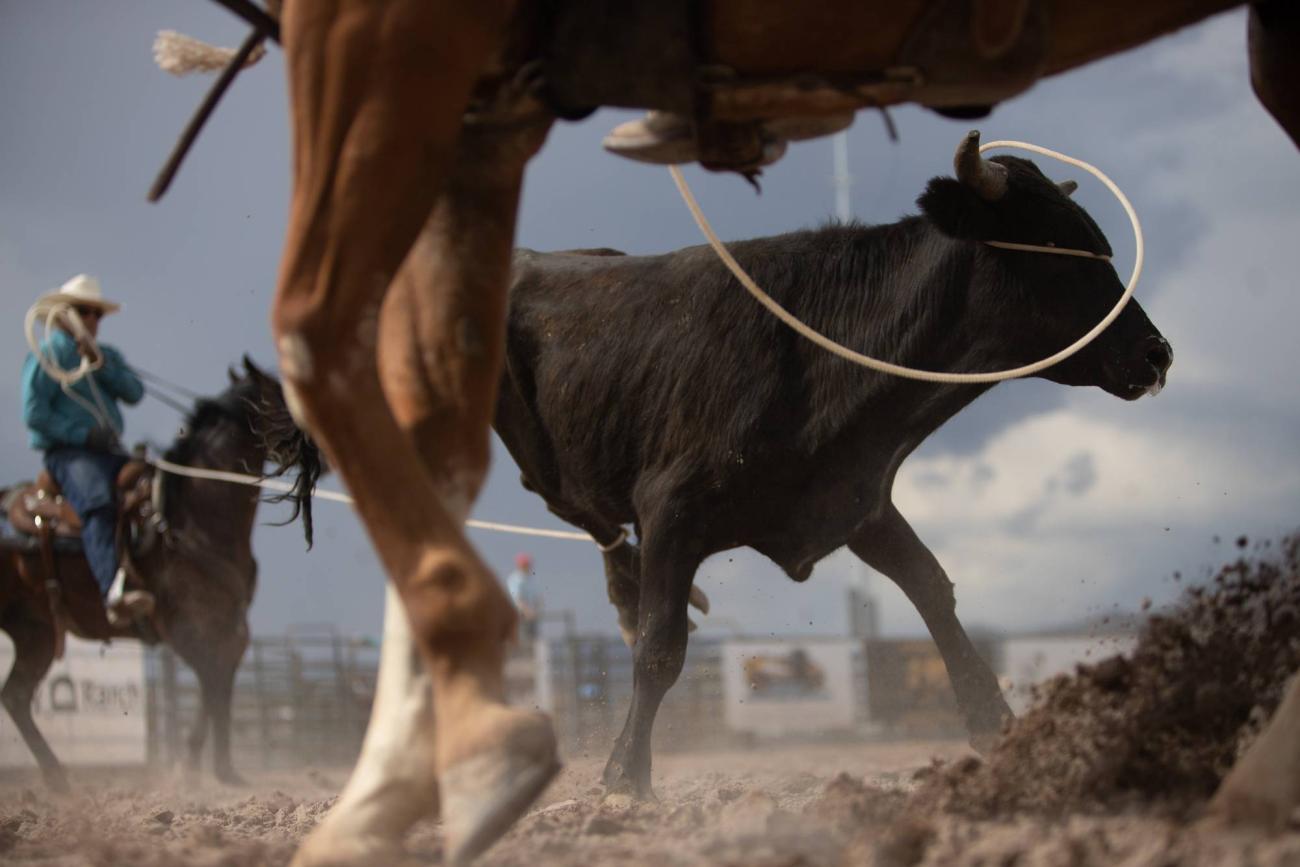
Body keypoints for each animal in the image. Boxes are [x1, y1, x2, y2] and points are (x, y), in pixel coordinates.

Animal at [1, 356, 317, 790]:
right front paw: (197, 766)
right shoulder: (184, 626)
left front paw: (217, 767)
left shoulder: (229, 624)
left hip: (36, 632)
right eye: (282, 395)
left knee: (15, 695)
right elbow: (213, 678)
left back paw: (58, 779)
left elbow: (220, 682)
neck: (191, 520)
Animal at [170, 3, 1300, 863]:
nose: (1154, 353)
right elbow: (663, 647)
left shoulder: (857, 503)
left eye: (1099, 240)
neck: (829, 349)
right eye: (1060, 249)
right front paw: (625, 778)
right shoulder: (674, 508)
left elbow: (935, 596)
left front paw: (997, 726)